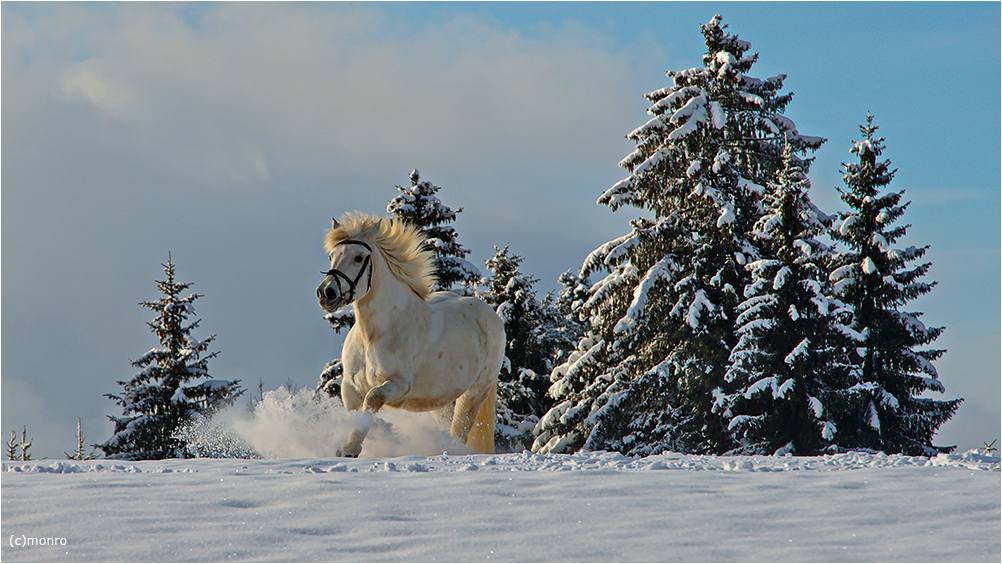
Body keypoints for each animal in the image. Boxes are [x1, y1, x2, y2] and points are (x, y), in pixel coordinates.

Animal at [316, 214, 505, 456]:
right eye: (332, 256)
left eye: (358, 257)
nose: (326, 293)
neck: (372, 337)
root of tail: (492, 316)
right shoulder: (351, 387)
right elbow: (357, 412)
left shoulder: (400, 384)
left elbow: (372, 398)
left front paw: (350, 448)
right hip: (440, 398)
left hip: (476, 390)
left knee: (460, 429)